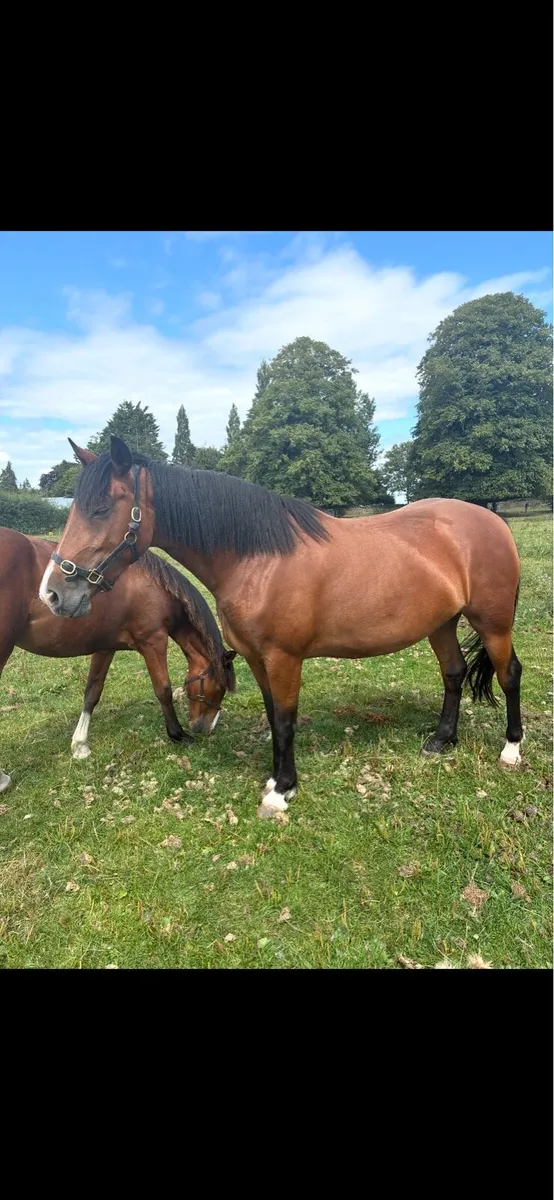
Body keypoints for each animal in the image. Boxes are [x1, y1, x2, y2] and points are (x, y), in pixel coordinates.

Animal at [0, 527, 236, 793]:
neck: (154, 586)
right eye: (219, 687)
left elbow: (92, 692)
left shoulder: (105, 648)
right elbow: (163, 690)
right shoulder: (153, 642)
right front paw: (178, 734)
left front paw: (80, 745)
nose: (207, 728)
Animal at [40, 436, 523, 820]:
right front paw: (275, 780)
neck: (258, 560)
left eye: (102, 509)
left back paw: (511, 749)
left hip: (494, 623)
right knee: (454, 673)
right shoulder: (258, 658)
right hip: (441, 623)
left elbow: (287, 720)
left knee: (509, 675)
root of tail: (491, 520)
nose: (53, 595)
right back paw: (441, 740)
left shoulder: (284, 658)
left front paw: (282, 791)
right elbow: (274, 716)